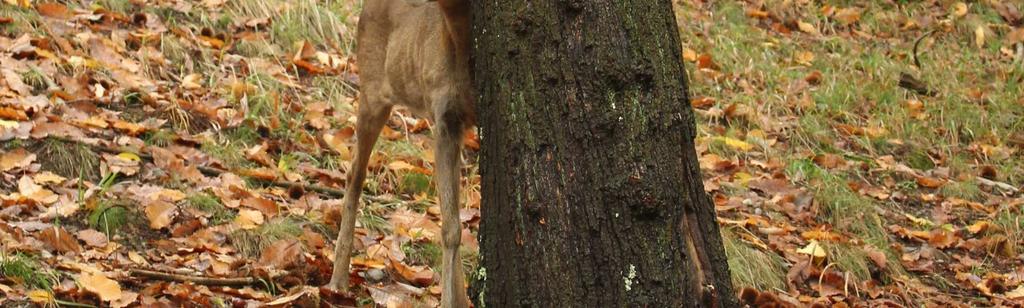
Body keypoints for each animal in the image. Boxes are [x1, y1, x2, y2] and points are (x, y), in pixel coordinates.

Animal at [325, 0, 473, 306]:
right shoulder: (445, 120)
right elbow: (450, 228)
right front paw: (449, 300)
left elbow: (455, 222)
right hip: (372, 90)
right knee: (354, 173)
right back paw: (338, 280)